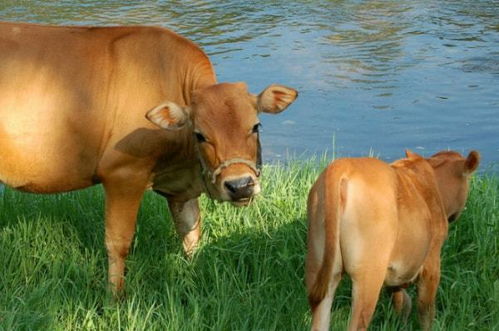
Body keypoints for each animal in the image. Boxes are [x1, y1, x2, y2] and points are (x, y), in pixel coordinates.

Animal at [0, 22, 296, 294]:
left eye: (255, 126)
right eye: (200, 135)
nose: (240, 185)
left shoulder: (180, 189)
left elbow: (190, 233)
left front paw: (192, 276)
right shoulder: (123, 173)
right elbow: (118, 242)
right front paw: (114, 298)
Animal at [304, 151, 480, 331]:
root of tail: (344, 165)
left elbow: (401, 301)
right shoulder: (431, 264)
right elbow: (425, 311)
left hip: (319, 269)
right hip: (368, 278)